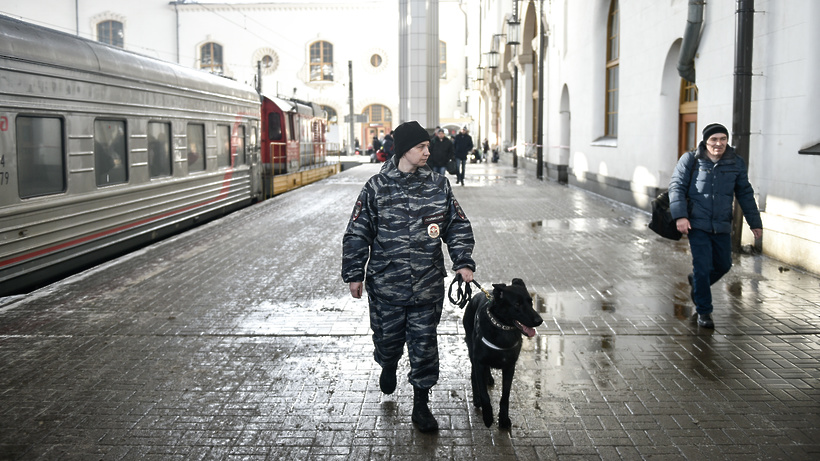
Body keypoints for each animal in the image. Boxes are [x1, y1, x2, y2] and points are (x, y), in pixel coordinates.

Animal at [464, 276, 540, 428]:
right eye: (517, 304)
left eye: (530, 302)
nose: (539, 320)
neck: (502, 327)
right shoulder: (479, 362)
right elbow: (484, 394)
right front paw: (488, 416)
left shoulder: (510, 367)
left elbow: (505, 396)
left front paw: (504, 419)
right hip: (471, 351)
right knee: (473, 376)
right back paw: (476, 399)